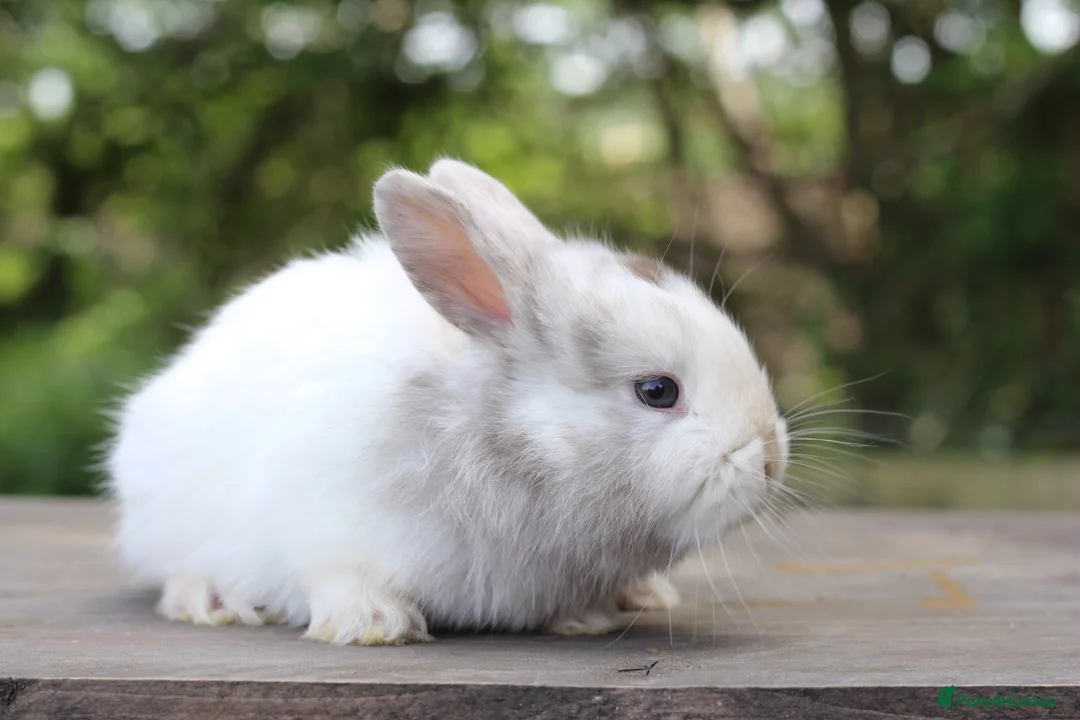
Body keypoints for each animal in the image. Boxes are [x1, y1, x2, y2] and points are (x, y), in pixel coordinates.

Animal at [104, 158, 789, 645]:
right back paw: (213, 600)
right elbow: (336, 576)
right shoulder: (323, 524)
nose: (770, 458)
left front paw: (586, 616)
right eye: (657, 391)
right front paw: (373, 625)